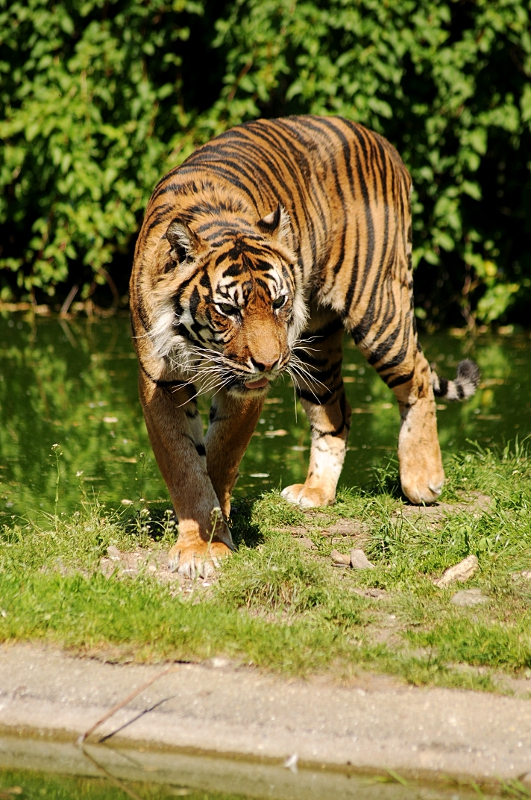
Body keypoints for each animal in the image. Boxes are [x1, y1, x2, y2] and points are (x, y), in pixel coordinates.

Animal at [130, 115, 480, 578]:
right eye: (228, 309)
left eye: (278, 302)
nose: (269, 363)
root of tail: (379, 139)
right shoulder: (161, 381)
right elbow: (186, 467)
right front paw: (196, 546)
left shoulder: (244, 391)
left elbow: (219, 458)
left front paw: (213, 541)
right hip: (316, 348)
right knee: (336, 410)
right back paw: (316, 492)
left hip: (377, 308)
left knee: (418, 375)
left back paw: (422, 480)